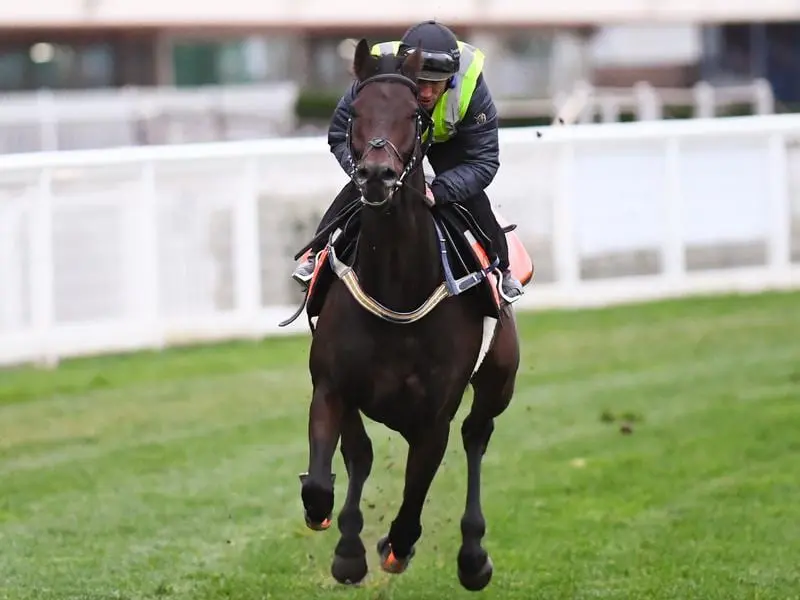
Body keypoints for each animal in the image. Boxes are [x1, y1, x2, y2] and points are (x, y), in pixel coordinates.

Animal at [294, 38, 532, 592]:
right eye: (357, 110)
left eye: (414, 115)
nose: (377, 175)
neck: (398, 290)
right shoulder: (332, 385)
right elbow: (324, 480)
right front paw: (343, 543)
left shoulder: (434, 418)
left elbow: (413, 501)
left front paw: (396, 547)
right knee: (361, 455)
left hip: (498, 385)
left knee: (476, 438)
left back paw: (472, 556)